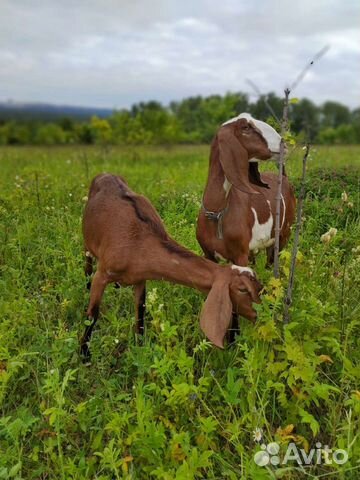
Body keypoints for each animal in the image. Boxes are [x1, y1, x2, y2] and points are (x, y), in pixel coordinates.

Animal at [81, 173, 262, 356]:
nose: (259, 313)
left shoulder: (140, 278)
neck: (138, 243)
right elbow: (92, 314)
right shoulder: (102, 274)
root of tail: (105, 174)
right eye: (243, 289)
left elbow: (140, 311)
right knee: (87, 264)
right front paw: (84, 354)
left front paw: (140, 347)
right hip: (87, 244)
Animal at [197, 114, 296, 268]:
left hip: (284, 233)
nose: (283, 144)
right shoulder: (208, 254)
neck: (217, 214)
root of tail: (284, 178)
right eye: (245, 127)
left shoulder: (240, 255)